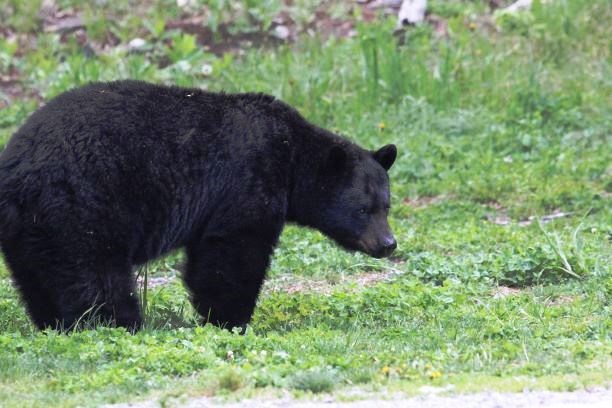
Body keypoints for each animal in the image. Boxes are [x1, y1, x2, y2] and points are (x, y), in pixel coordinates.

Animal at [0, 80, 396, 332]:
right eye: (364, 209)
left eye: (387, 206)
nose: (388, 244)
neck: (291, 153)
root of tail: (16, 170)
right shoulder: (247, 180)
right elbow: (232, 253)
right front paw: (229, 319)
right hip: (81, 206)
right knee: (96, 275)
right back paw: (121, 324)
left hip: (31, 228)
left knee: (39, 276)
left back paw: (55, 324)